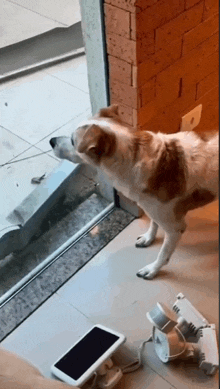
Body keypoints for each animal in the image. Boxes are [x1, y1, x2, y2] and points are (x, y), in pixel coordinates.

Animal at [49, 104, 218, 278]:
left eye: (72, 140)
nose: (51, 141)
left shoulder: (175, 228)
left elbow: (163, 254)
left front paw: (153, 269)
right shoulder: (153, 210)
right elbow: (153, 224)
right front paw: (148, 238)